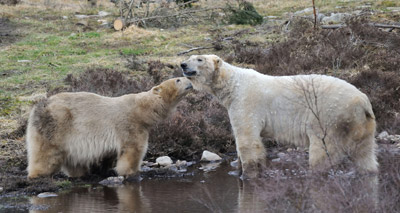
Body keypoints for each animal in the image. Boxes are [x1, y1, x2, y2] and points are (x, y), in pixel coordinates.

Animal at [26, 77, 192, 179]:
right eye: (178, 79)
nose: (190, 81)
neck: (141, 109)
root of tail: (38, 106)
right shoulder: (130, 125)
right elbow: (133, 149)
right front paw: (131, 172)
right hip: (56, 124)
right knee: (46, 152)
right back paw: (38, 174)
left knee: (74, 159)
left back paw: (81, 173)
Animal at [181, 55, 378, 178]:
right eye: (190, 58)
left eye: (199, 59)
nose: (182, 64)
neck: (233, 83)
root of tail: (362, 101)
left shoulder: (245, 102)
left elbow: (247, 139)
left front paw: (248, 175)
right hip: (363, 123)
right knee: (365, 153)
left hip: (330, 115)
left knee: (322, 151)